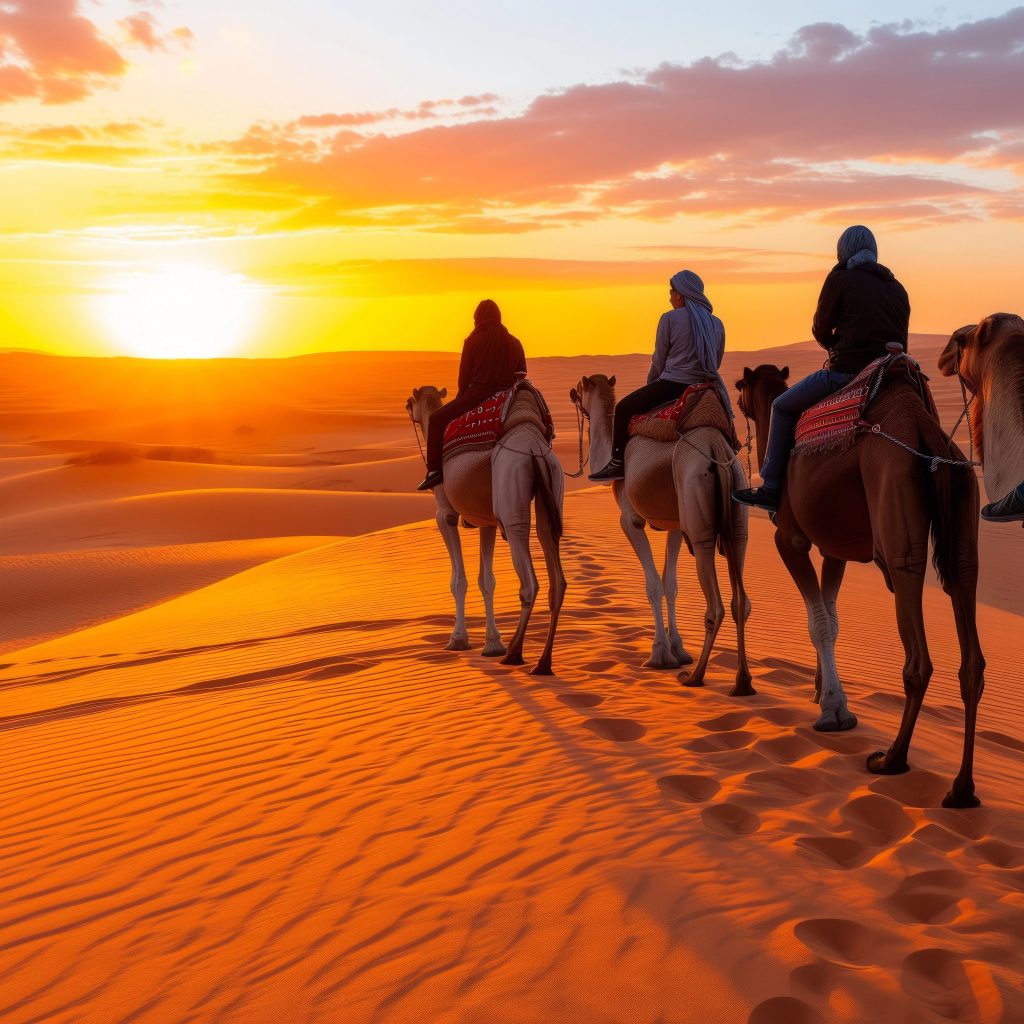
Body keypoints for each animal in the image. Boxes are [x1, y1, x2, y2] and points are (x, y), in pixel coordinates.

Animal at [405, 382, 569, 671]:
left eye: (412, 401)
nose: (406, 404)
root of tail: (533, 445)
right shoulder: (487, 522)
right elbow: (487, 580)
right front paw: (492, 644)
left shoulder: (445, 514)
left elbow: (458, 580)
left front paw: (458, 640)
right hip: (552, 485)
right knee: (555, 576)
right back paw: (542, 663)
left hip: (511, 489)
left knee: (528, 579)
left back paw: (514, 653)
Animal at [569, 376, 753, 696]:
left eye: (581, 390)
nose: (571, 393)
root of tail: (716, 446)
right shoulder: (675, 525)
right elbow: (671, 584)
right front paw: (677, 650)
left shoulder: (630, 520)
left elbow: (654, 584)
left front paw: (659, 655)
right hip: (737, 511)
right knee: (739, 599)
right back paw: (742, 682)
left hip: (697, 512)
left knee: (715, 602)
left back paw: (695, 677)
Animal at [741, 360, 987, 806]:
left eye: (739, 386)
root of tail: (928, 436)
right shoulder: (834, 549)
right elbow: (829, 619)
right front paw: (823, 692)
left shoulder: (790, 538)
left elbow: (818, 621)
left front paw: (834, 711)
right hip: (963, 516)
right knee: (970, 643)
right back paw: (962, 789)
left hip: (897, 532)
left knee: (917, 657)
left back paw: (892, 759)